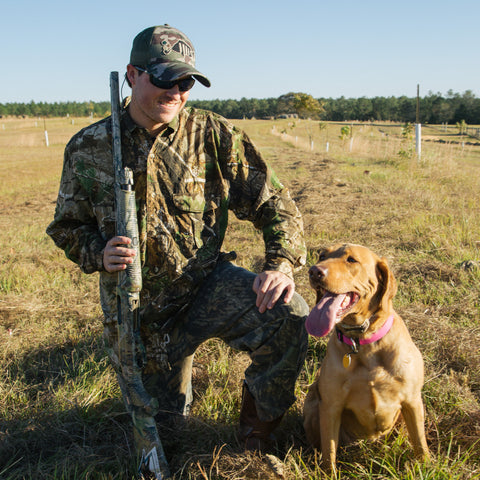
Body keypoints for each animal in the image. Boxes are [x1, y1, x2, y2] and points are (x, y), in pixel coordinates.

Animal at [302, 246, 430, 470]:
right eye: (322, 256)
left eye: (351, 259)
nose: (314, 271)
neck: (363, 343)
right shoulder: (331, 406)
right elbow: (329, 452)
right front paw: (329, 472)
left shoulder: (412, 400)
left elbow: (420, 443)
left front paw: (426, 466)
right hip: (311, 406)